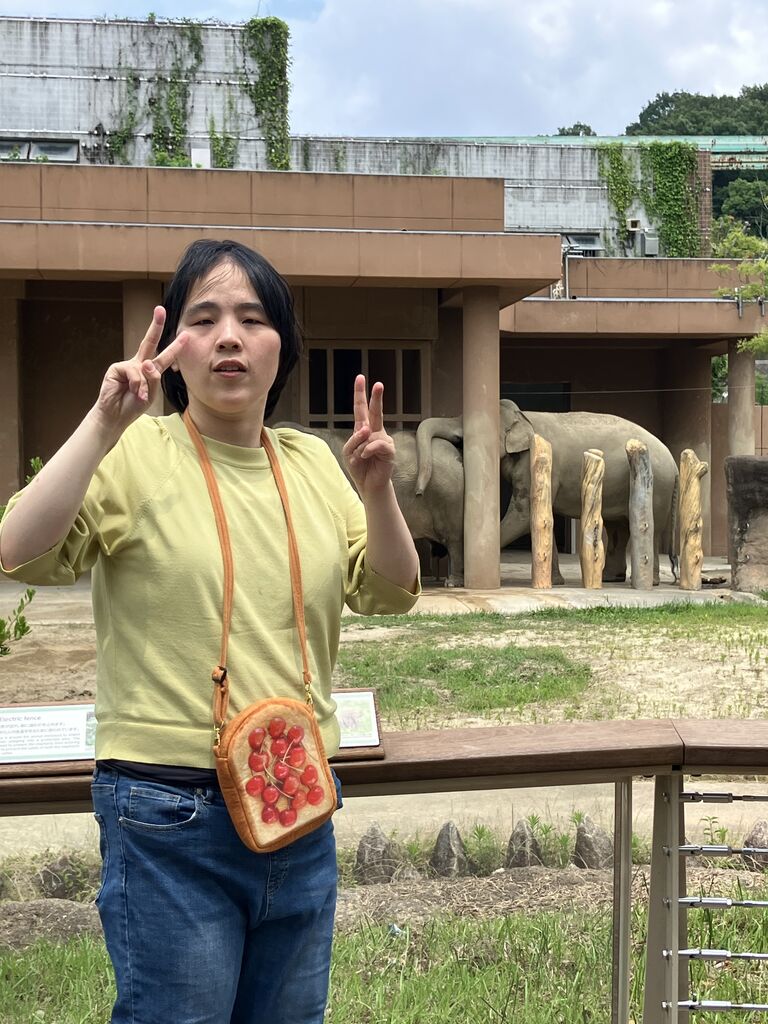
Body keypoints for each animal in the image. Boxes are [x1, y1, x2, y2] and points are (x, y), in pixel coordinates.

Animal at [415, 401, 679, 585]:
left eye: (465, 436)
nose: (418, 492)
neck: (522, 415)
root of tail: (674, 462)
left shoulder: (534, 462)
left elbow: (523, 515)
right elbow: (543, 517)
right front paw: (556, 582)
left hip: (658, 487)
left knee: (648, 530)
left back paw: (649, 581)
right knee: (618, 529)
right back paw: (610, 579)